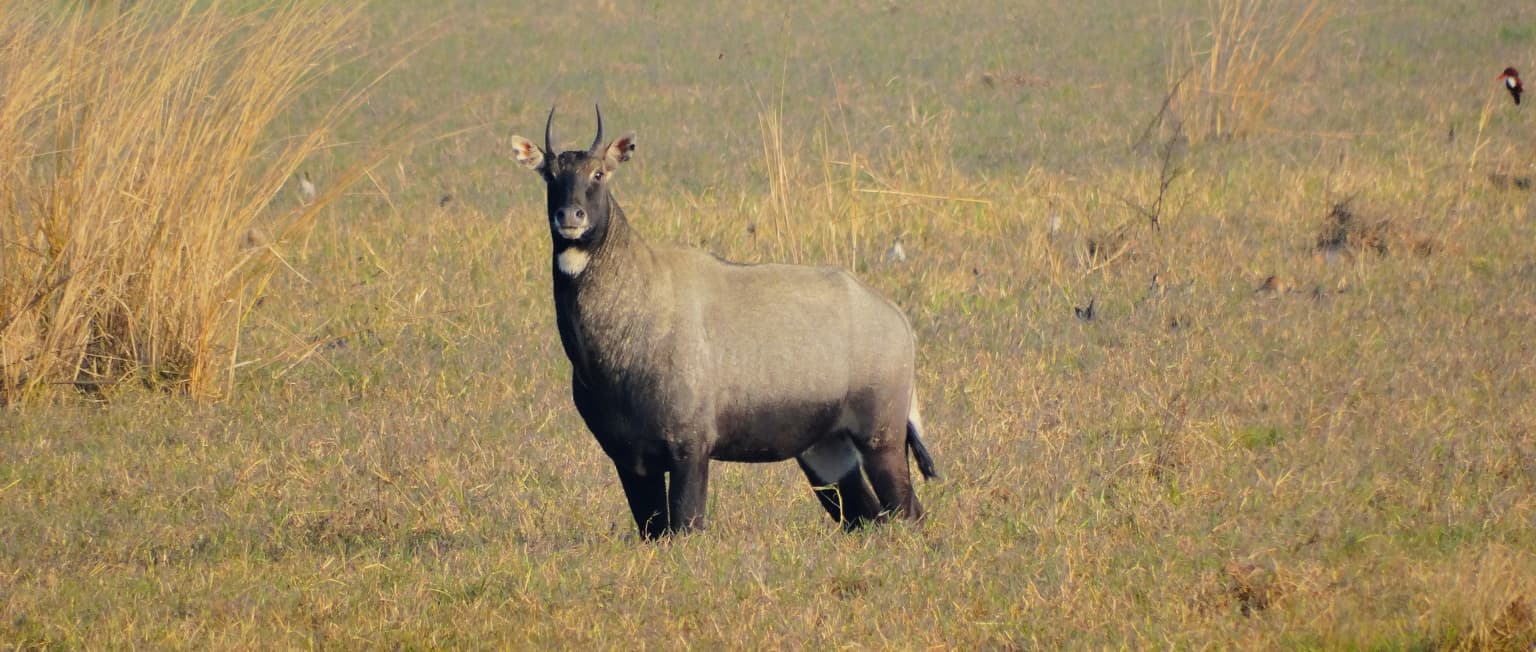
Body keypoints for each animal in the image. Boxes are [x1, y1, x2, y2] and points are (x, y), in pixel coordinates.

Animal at [507, 107, 937, 538]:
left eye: (599, 173)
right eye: (550, 175)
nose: (570, 216)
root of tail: (896, 318)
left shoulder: (690, 449)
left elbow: (687, 527)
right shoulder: (631, 461)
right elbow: (654, 532)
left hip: (881, 441)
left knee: (908, 511)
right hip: (826, 453)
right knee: (866, 517)